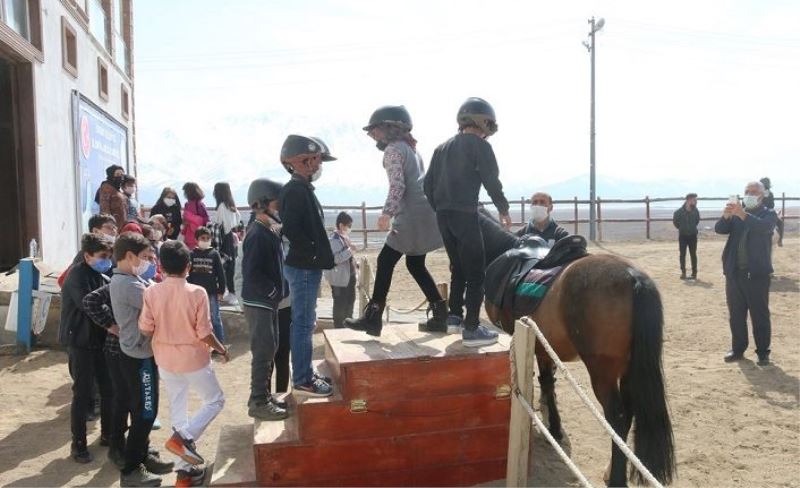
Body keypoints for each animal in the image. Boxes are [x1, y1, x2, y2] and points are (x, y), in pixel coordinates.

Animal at [478, 214, 680, 488]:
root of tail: (632, 276)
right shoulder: (544, 346)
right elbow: (548, 381)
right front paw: (552, 423)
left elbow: (544, 382)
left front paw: (552, 426)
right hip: (629, 368)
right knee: (629, 413)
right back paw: (611, 469)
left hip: (602, 371)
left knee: (616, 417)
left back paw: (616, 478)